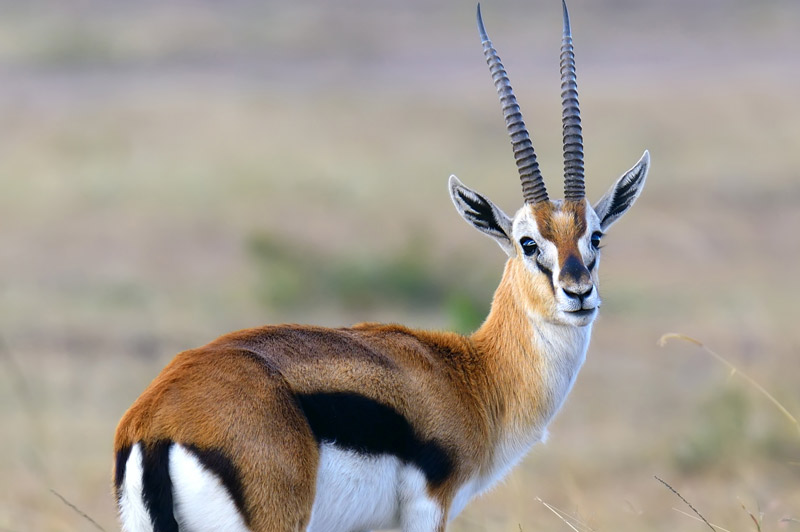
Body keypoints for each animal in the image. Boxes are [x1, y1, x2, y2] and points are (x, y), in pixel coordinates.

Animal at [113, 2, 650, 531]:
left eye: (595, 236)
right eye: (528, 243)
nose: (578, 292)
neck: (470, 375)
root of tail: (155, 422)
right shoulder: (428, 510)